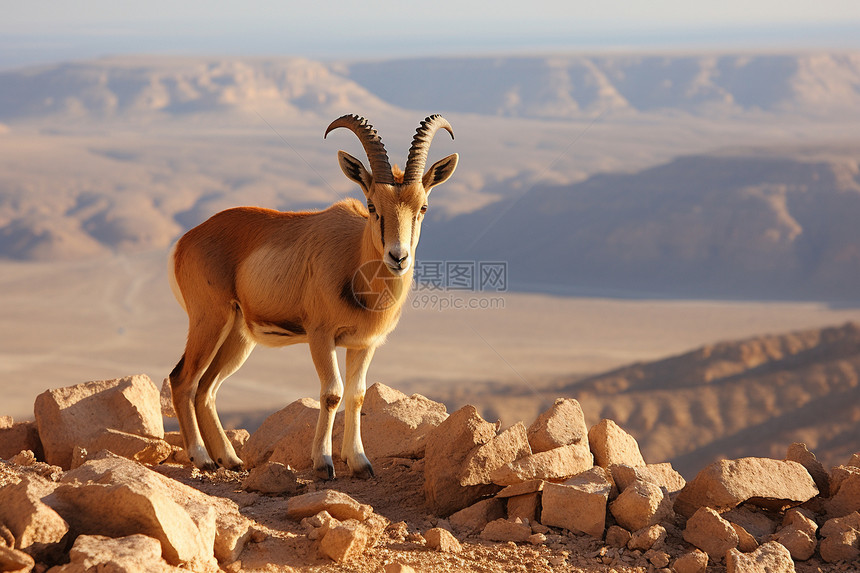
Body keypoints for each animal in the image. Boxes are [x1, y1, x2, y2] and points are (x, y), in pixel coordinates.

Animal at [170, 113, 460, 478]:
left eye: (423, 207)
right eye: (372, 206)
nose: (398, 257)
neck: (354, 262)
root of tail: (186, 240)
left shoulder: (363, 345)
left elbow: (357, 395)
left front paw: (359, 462)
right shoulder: (321, 338)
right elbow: (332, 393)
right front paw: (323, 462)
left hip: (238, 336)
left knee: (206, 388)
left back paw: (230, 460)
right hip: (210, 322)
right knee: (183, 380)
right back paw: (202, 458)